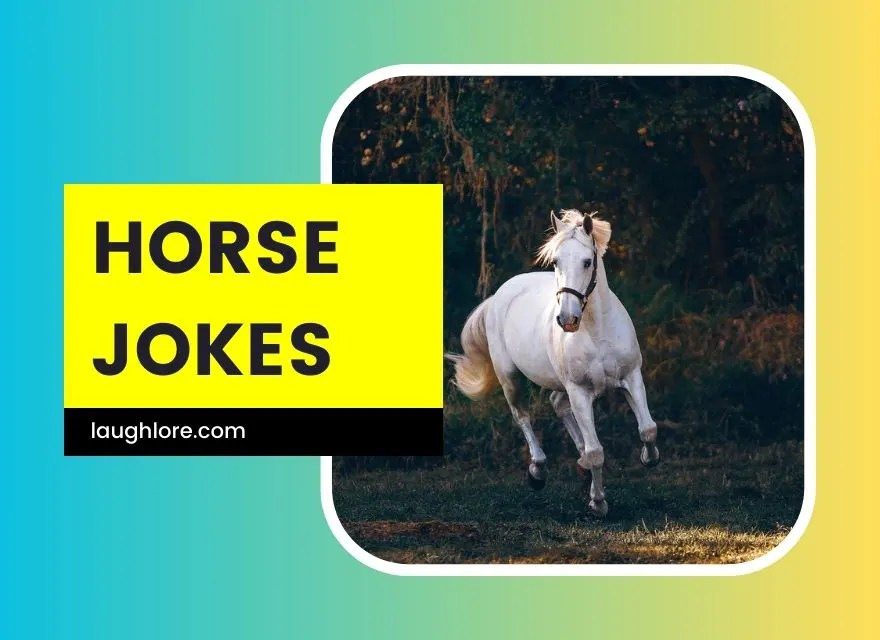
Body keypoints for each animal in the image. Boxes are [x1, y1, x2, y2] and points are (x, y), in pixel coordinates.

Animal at [445, 208, 660, 518]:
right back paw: (538, 471)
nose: (567, 319)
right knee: (522, 416)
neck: (597, 330)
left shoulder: (631, 377)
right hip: (510, 378)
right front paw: (598, 503)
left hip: (559, 383)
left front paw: (646, 458)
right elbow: (596, 451)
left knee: (557, 404)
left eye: (587, 261)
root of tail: (498, 295)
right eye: (556, 261)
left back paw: (580, 465)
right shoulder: (579, 391)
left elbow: (648, 429)